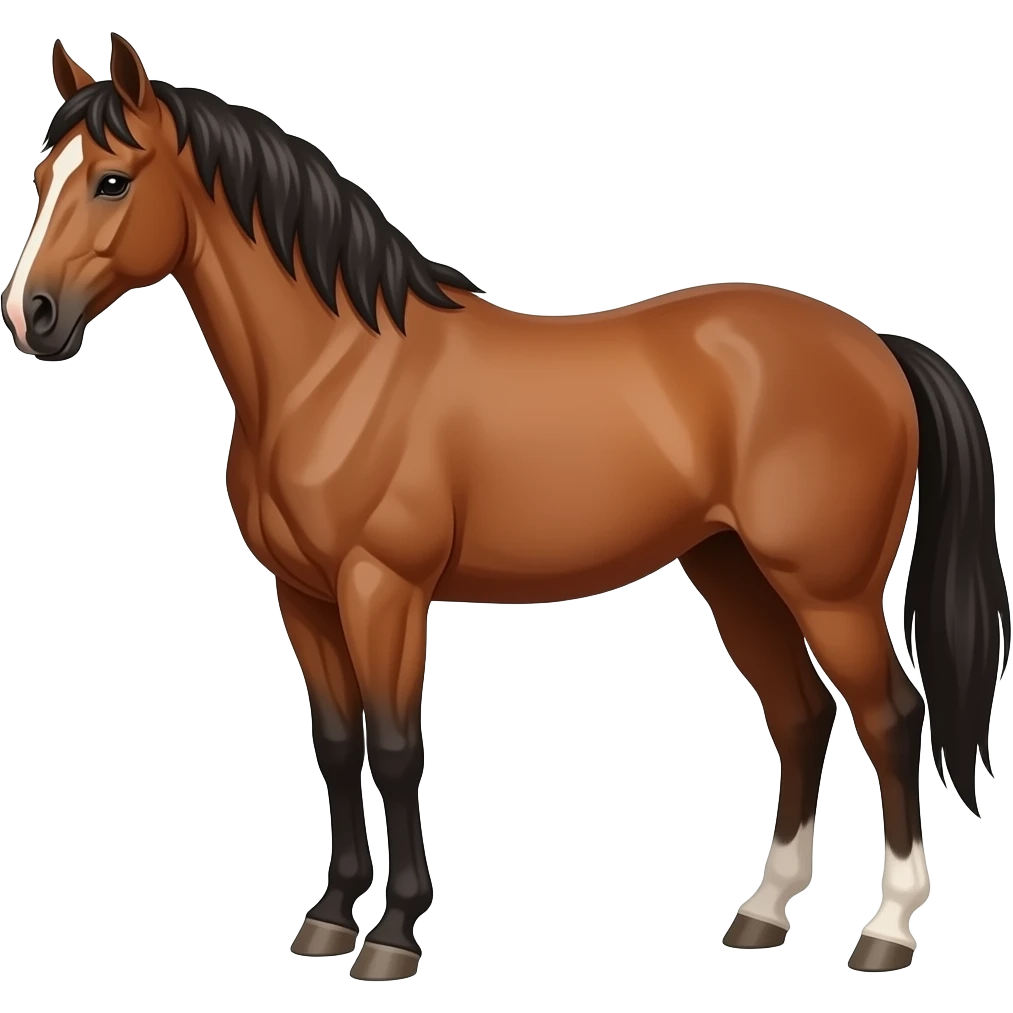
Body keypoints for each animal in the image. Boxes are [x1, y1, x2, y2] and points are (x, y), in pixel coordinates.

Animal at [3, 33, 1007, 980]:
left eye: (112, 180)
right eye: (42, 178)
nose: (31, 316)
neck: (336, 367)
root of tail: (874, 345)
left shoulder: (383, 589)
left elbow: (395, 745)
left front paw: (394, 933)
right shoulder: (306, 595)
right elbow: (335, 743)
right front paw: (329, 916)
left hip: (827, 588)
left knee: (890, 716)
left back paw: (885, 928)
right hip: (734, 572)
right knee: (798, 713)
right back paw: (762, 911)